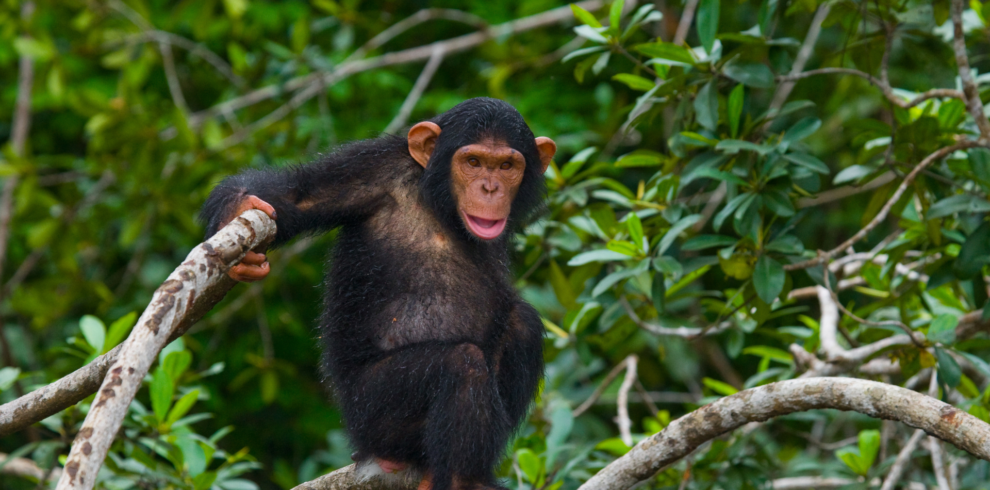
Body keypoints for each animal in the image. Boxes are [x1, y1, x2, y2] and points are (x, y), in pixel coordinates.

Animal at [202, 98, 560, 490]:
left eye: (507, 166)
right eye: (473, 162)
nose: (490, 187)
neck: (440, 205)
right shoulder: (373, 171)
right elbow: (300, 195)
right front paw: (234, 211)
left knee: (522, 323)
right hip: (372, 414)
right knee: (461, 364)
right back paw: (462, 479)